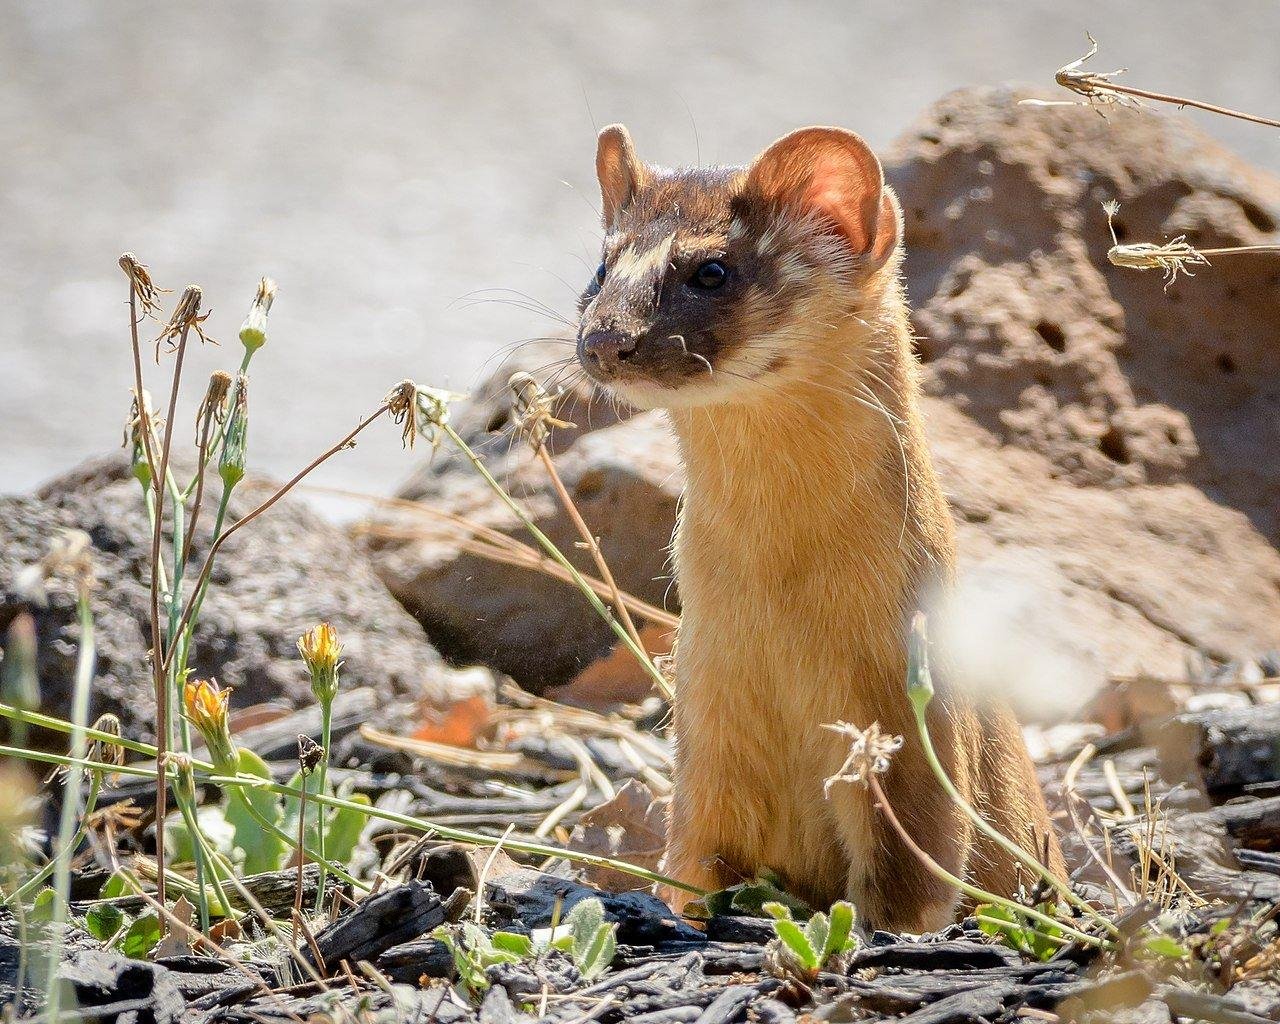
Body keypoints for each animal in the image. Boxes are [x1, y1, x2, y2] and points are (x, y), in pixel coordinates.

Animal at [576, 124, 1064, 931]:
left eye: (711, 270)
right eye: (601, 264)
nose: (602, 342)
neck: (784, 618)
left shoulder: (912, 724)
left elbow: (915, 871)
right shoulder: (705, 718)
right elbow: (696, 859)